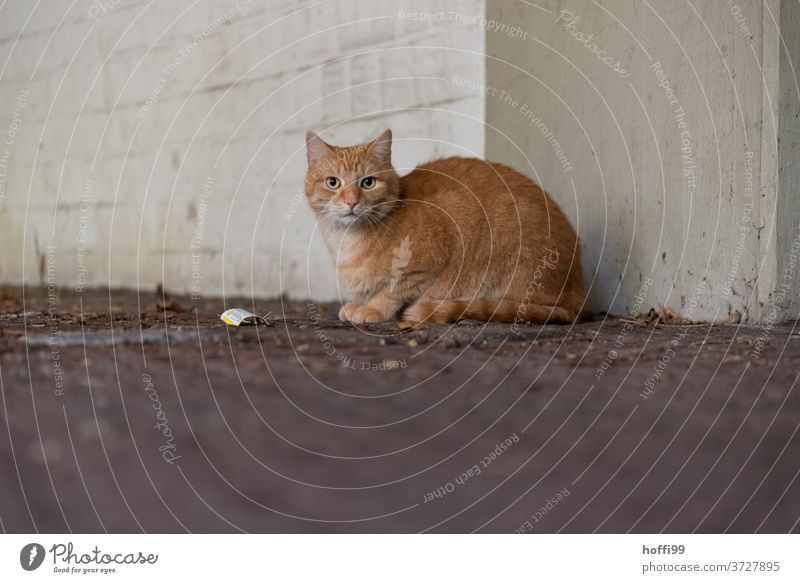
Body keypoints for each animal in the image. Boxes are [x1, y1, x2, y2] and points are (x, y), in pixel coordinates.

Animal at [304, 129, 584, 326]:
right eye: (333, 182)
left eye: (368, 182)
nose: (352, 202)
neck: (347, 241)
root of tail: (579, 291)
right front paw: (359, 302)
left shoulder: (424, 267)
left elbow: (393, 290)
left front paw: (373, 307)